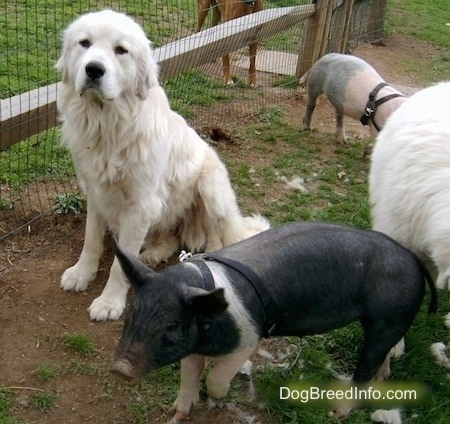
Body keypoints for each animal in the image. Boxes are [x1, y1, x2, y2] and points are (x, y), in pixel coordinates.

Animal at [55, 9, 268, 322]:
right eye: (84, 43)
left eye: (121, 50)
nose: (93, 70)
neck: (108, 127)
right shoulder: (96, 193)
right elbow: (91, 241)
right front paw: (82, 274)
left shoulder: (140, 206)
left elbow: (119, 265)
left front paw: (109, 302)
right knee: (170, 241)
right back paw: (152, 256)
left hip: (211, 188)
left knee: (219, 239)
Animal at [110, 222, 438, 420]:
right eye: (133, 311)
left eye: (171, 326)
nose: (119, 369)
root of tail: (413, 259)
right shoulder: (193, 346)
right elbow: (188, 375)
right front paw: (177, 413)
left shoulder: (248, 338)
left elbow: (216, 377)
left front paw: (218, 397)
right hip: (388, 321)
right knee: (383, 356)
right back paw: (383, 379)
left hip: (389, 315)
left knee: (367, 366)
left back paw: (336, 413)